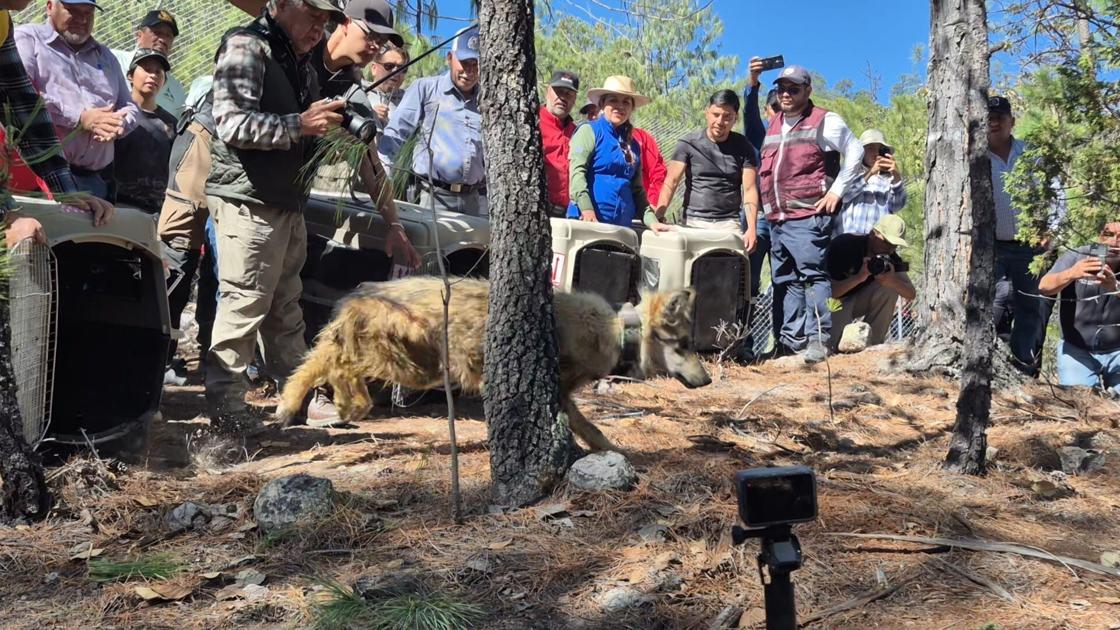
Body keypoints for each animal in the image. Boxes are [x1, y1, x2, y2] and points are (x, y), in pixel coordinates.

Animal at [275, 277, 712, 451]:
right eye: (685, 344)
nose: (708, 381)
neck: (618, 331)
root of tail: (360, 294)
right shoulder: (558, 389)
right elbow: (584, 425)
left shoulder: (564, 394)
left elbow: (592, 429)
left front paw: (609, 450)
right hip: (410, 366)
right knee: (338, 364)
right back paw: (339, 404)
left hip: (410, 364)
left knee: (319, 357)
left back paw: (301, 404)